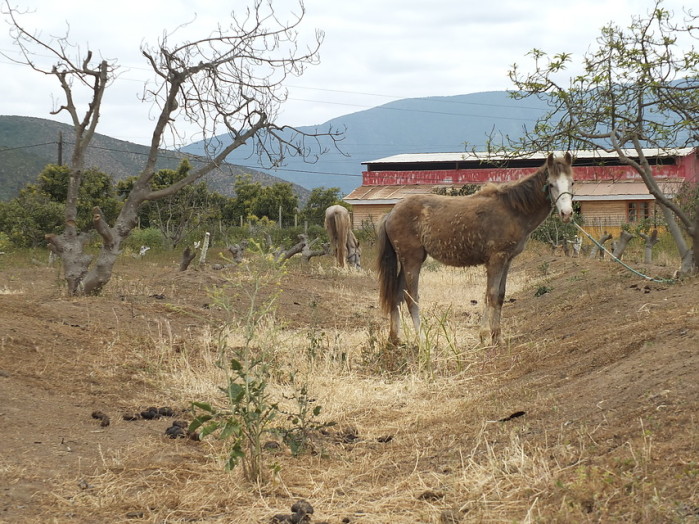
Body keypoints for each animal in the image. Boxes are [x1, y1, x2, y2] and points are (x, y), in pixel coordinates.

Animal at [377, 152, 575, 345]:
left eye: (572, 182)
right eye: (551, 184)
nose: (567, 214)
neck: (512, 210)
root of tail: (390, 214)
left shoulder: (507, 260)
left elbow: (499, 295)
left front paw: (495, 335)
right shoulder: (496, 259)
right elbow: (491, 295)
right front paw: (488, 335)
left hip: (407, 262)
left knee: (396, 296)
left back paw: (394, 339)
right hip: (412, 261)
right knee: (411, 299)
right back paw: (422, 340)